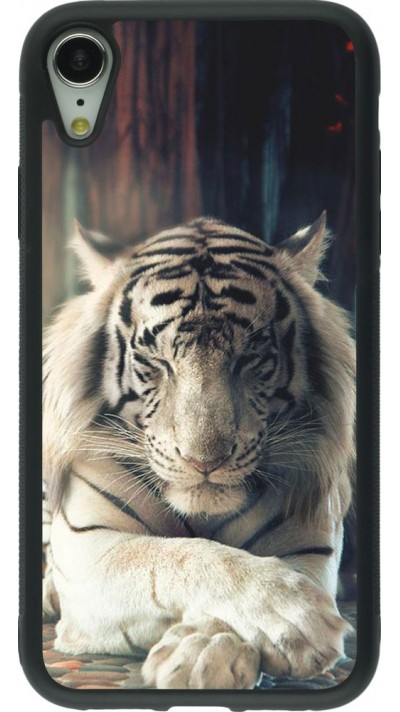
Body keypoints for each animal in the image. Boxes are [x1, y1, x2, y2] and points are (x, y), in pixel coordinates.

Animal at [43, 213, 355, 689]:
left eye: (251, 358)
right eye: (155, 361)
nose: (204, 461)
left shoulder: (309, 549)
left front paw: (204, 654)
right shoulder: (89, 548)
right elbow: (177, 556)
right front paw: (295, 616)